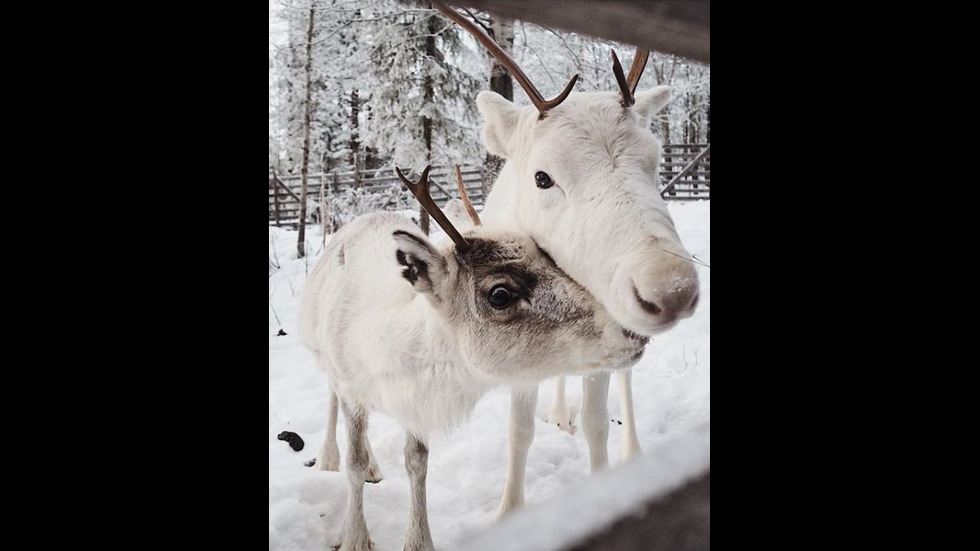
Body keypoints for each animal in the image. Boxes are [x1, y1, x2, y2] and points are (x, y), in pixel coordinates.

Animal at [298, 168, 652, 551]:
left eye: (551, 261)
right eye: (500, 294)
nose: (632, 329)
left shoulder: (416, 405)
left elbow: (416, 462)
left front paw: (419, 540)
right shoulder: (353, 391)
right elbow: (354, 464)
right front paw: (354, 537)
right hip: (327, 365)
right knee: (333, 404)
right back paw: (329, 457)